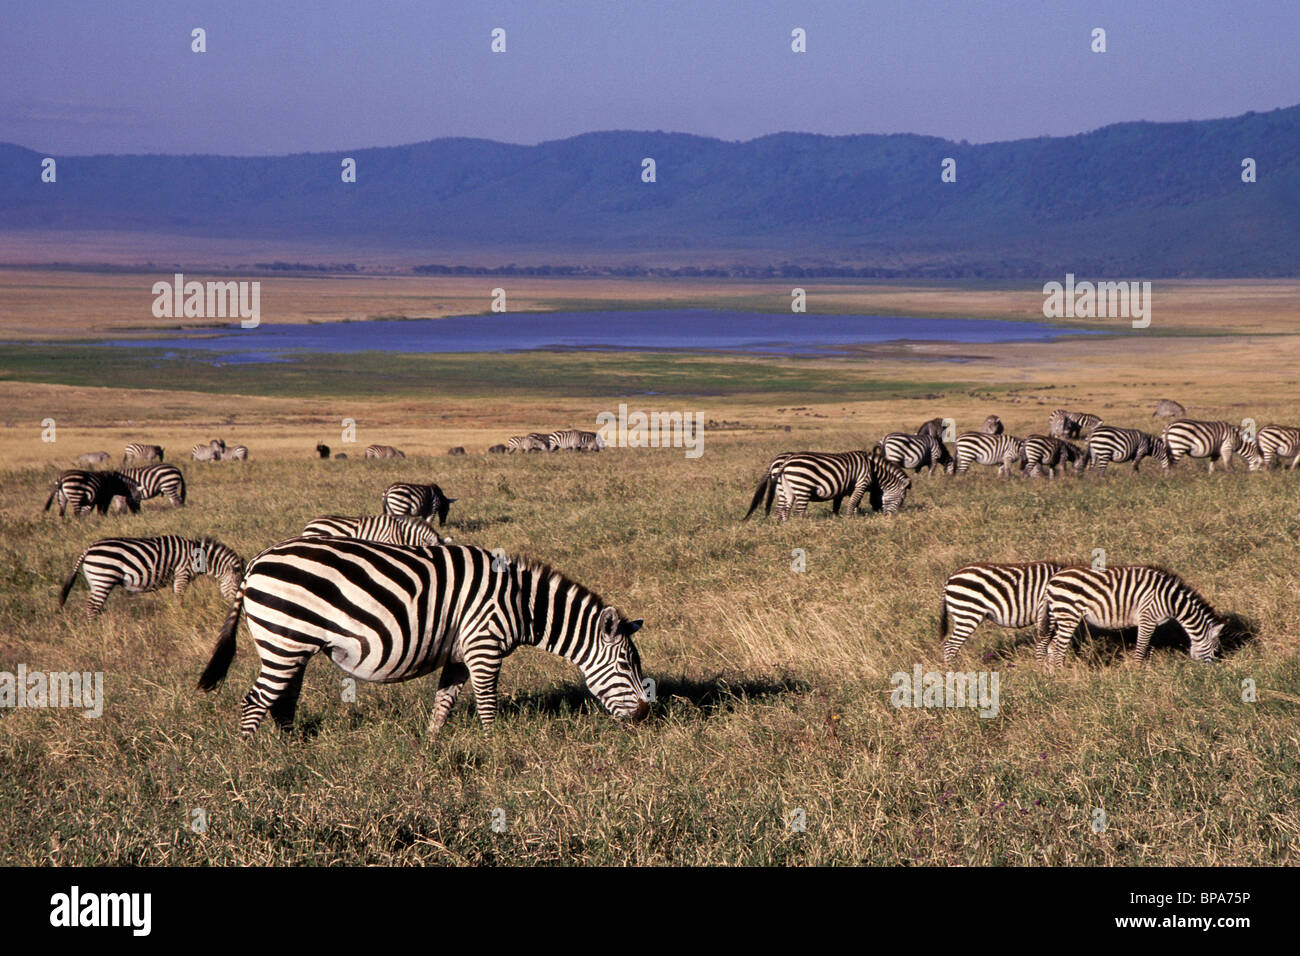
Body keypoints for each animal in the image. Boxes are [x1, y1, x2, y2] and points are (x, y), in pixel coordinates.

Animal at [57, 535, 244, 616]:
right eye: (237, 586)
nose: (239, 608)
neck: (198, 558)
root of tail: (88, 549)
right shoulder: (182, 573)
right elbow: (180, 597)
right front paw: (181, 614)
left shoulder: (178, 577)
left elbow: (176, 596)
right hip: (104, 578)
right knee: (92, 606)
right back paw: (95, 627)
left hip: (96, 581)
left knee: (94, 605)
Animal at [193, 538, 655, 738]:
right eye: (625, 665)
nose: (646, 715)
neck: (520, 603)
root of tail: (256, 563)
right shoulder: (484, 645)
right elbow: (487, 704)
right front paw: (496, 748)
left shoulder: (459, 652)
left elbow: (444, 703)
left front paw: (432, 748)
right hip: (284, 640)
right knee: (255, 702)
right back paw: (256, 763)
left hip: (292, 646)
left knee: (282, 700)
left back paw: (295, 751)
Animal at [764, 450, 909, 520]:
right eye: (901, 499)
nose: (889, 517)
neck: (874, 470)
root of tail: (785, 462)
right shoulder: (861, 483)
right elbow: (852, 503)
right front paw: (848, 520)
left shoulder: (848, 489)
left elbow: (851, 504)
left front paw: (852, 519)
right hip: (803, 488)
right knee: (798, 513)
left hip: (788, 490)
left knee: (783, 510)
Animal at [941, 561, 1071, 665]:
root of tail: (950, 579)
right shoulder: (1045, 613)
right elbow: (1045, 643)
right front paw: (1043, 670)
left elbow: (1052, 646)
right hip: (967, 613)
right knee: (950, 646)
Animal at [1029, 567, 1222, 665]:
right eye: (1214, 648)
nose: (1212, 670)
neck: (1171, 600)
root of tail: (1051, 580)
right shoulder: (1147, 617)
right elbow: (1141, 648)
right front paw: (1137, 673)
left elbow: (1146, 647)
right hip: (1068, 614)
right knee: (1058, 649)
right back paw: (1061, 675)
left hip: (1058, 614)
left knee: (1051, 646)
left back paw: (1050, 675)